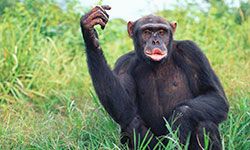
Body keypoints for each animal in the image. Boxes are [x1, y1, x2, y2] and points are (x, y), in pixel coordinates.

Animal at [79, 5, 229, 149]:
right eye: (147, 32)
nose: (155, 41)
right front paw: (90, 34)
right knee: (131, 124)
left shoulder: (192, 52)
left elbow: (214, 95)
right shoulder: (123, 64)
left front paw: (180, 119)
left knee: (205, 124)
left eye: (162, 32)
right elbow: (123, 107)